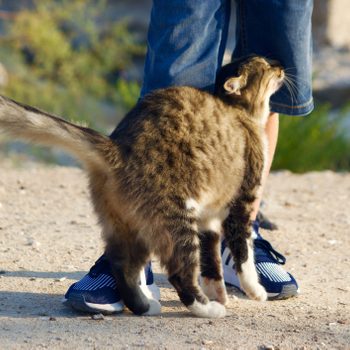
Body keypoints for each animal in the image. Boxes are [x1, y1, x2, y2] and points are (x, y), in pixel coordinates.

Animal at [0, 56, 284, 318]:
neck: (240, 113)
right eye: (265, 65)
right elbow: (243, 254)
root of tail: (116, 148)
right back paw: (207, 309)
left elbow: (211, 263)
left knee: (121, 267)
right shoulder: (241, 204)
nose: (281, 66)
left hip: (129, 227)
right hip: (176, 222)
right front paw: (254, 290)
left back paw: (145, 306)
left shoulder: (209, 220)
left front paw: (219, 292)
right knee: (180, 275)